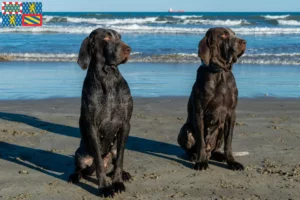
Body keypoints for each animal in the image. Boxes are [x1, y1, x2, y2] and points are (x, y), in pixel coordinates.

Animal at [69, 28, 134, 198]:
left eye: (120, 37)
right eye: (106, 38)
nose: (128, 49)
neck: (108, 78)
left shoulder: (125, 124)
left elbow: (120, 160)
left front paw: (117, 182)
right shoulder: (92, 126)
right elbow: (98, 160)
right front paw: (104, 187)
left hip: (114, 149)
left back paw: (123, 174)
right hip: (81, 153)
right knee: (80, 168)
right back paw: (75, 175)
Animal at [178, 27, 246, 172]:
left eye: (234, 34)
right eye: (223, 35)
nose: (244, 42)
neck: (220, 73)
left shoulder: (231, 114)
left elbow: (229, 142)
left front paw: (232, 162)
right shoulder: (199, 112)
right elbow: (201, 142)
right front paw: (201, 161)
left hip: (220, 129)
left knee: (215, 149)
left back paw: (220, 156)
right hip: (185, 129)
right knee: (191, 147)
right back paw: (194, 156)